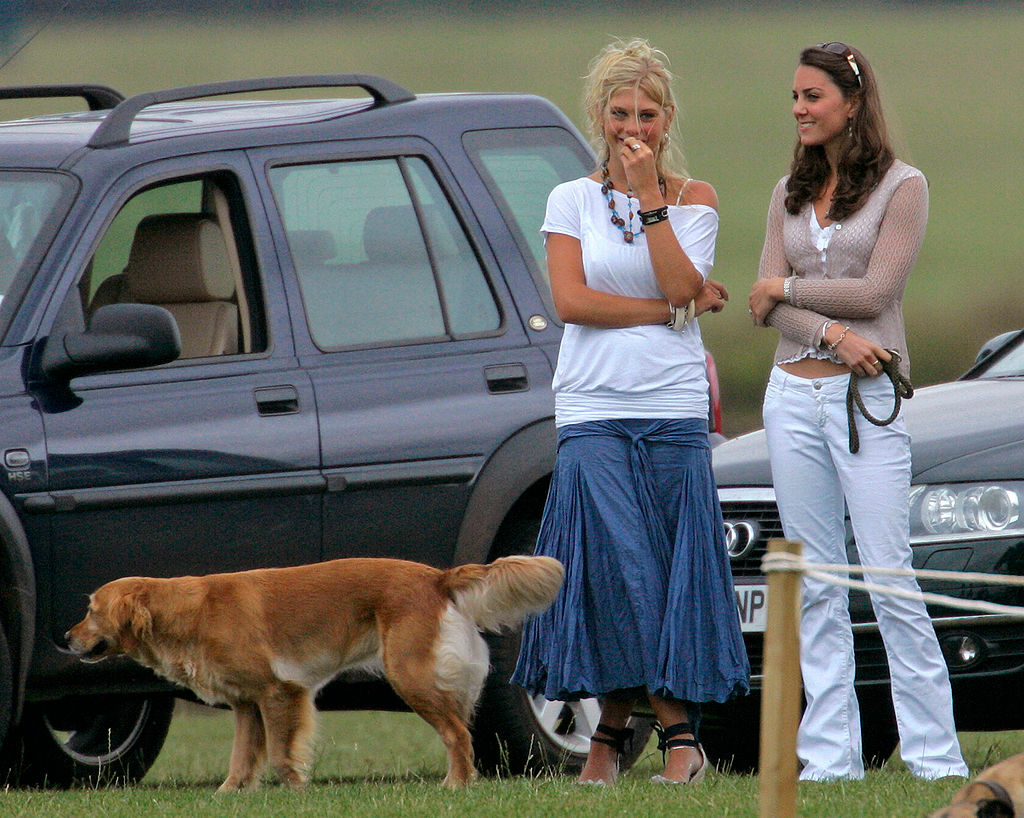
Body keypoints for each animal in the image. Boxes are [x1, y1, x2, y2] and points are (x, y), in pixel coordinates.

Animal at [66, 552, 561, 790]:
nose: (66, 639)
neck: (191, 612)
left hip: (409, 674)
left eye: (91, 611)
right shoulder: (247, 704)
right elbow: (242, 756)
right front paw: (229, 792)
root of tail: (435, 577)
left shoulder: (278, 692)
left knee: (458, 734)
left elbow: (281, 754)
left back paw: (456, 785)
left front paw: (295, 790)